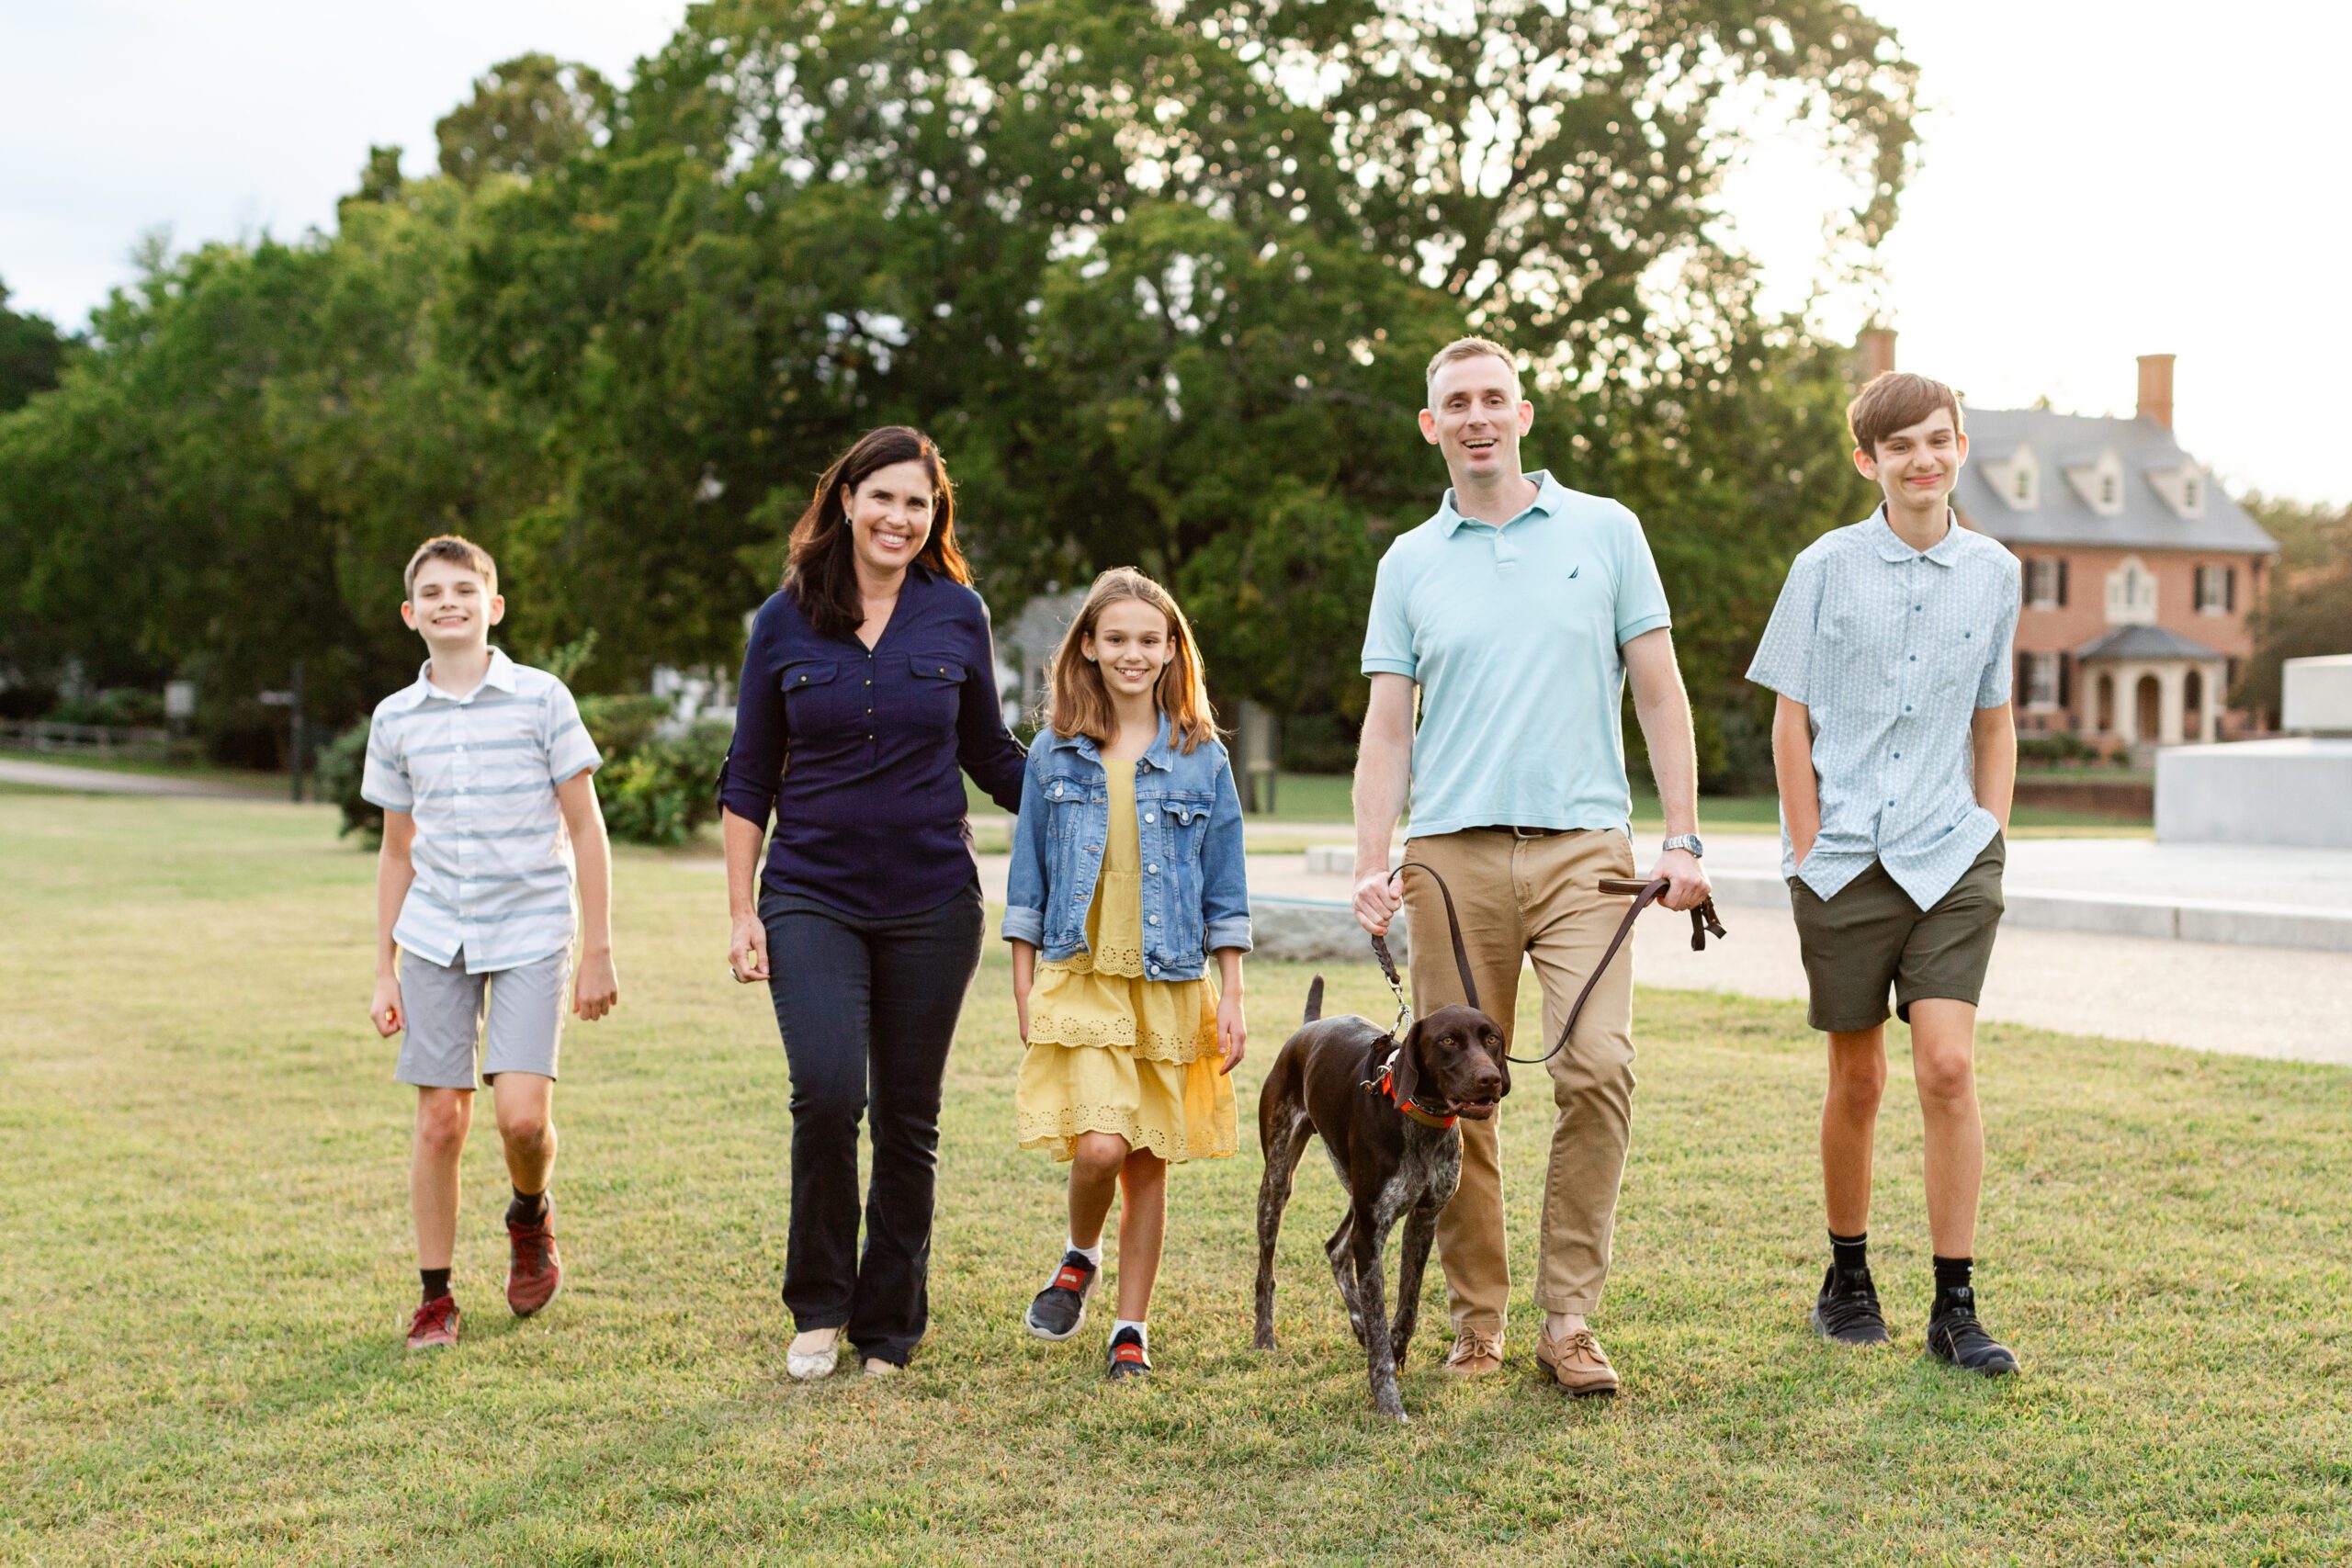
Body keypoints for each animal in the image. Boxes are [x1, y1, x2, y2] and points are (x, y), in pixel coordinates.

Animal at [1250, 973, 1505, 1419]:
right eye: (1448, 1041)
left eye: (1490, 1038)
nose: (1490, 1079)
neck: (1423, 1120)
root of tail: (1308, 1027)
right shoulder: (1373, 1233)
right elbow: (1379, 1311)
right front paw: (1388, 1401)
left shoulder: (1423, 1220)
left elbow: (1406, 1308)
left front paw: (1393, 1348)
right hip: (1279, 1181)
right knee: (1268, 1269)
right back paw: (1264, 1337)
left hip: (1357, 1193)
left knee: (1336, 1248)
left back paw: (1359, 1327)